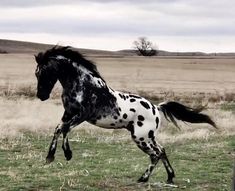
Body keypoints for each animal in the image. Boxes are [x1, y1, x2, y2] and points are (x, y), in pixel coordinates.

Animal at [35, 46, 217, 184]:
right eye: (37, 73)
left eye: (43, 72)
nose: (41, 96)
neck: (84, 85)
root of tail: (156, 108)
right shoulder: (68, 113)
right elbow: (58, 129)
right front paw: (51, 156)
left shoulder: (81, 115)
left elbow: (64, 129)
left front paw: (66, 154)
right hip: (148, 137)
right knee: (162, 150)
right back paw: (169, 177)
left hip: (141, 137)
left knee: (156, 155)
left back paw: (143, 178)